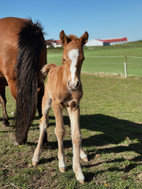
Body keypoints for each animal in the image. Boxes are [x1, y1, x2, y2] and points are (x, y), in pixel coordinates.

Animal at [0, 17, 46, 145]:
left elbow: (2, 100)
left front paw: (5, 121)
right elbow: (3, 100)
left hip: (16, 83)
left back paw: (21, 138)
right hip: (40, 80)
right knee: (40, 103)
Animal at [32, 30, 89, 183]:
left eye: (82, 59)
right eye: (63, 59)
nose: (73, 85)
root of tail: (52, 67)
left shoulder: (75, 106)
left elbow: (76, 135)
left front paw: (78, 172)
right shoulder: (56, 104)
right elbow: (59, 131)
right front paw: (62, 163)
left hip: (67, 108)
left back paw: (82, 153)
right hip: (46, 102)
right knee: (43, 122)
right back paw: (36, 157)